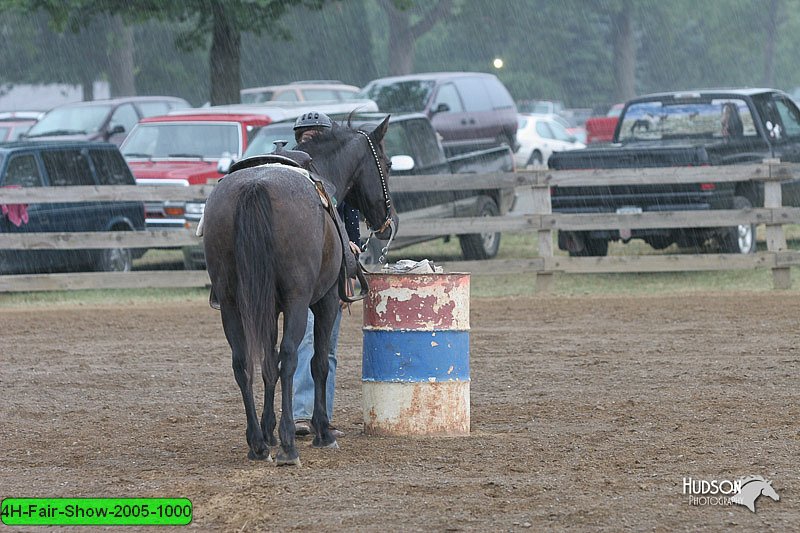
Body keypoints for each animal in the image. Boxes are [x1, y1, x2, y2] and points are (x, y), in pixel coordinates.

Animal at [202, 117, 396, 466]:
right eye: (386, 165)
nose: (387, 224)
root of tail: (256, 187)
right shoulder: (324, 302)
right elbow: (316, 363)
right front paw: (322, 431)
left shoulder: (265, 309)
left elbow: (268, 365)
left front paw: (268, 431)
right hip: (296, 302)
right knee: (291, 357)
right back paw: (290, 445)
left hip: (232, 305)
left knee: (243, 363)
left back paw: (258, 443)